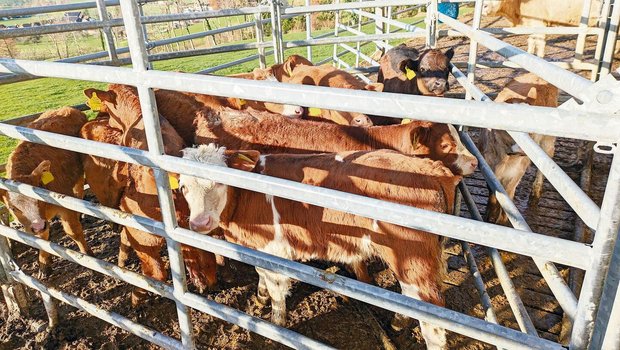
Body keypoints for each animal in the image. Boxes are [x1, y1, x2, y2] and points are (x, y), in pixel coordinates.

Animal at [0, 108, 91, 278]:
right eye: (13, 208)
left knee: (79, 191)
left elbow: (73, 231)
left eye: (38, 200)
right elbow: (42, 239)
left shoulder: (65, 205)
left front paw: (87, 254)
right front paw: (44, 264)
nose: (38, 226)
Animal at [179, 144, 460, 348]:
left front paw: (276, 325)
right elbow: (261, 276)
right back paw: (400, 321)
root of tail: (431, 167)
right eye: (183, 187)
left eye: (218, 181)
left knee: (431, 314)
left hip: (413, 256)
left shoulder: (274, 250)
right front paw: (260, 296)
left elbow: (277, 291)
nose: (199, 222)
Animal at [478, 73, 560, 226]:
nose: (524, 149)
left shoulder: (517, 173)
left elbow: (508, 195)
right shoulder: (488, 169)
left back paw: (535, 192)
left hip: (547, 141)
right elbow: (493, 194)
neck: (506, 158)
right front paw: (489, 216)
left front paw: (502, 219)